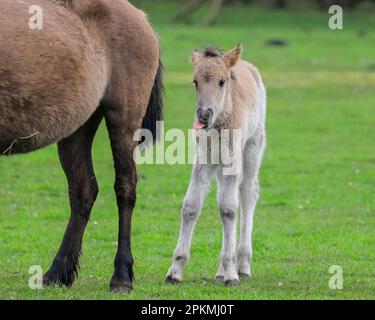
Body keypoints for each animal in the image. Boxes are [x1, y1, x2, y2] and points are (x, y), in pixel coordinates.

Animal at [0, 0, 164, 292]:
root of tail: (139, 16)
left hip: (123, 120)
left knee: (125, 190)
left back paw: (121, 276)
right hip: (77, 127)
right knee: (83, 192)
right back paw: (58, 272)